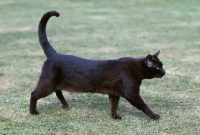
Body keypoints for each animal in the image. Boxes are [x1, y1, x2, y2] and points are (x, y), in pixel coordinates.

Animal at [28, 10, 165, 120]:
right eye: (158, 67)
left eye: (162, 65)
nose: (164, 72)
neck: (136, 68)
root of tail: (54, 54)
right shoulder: (131, 93)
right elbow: (144, 106)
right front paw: (154, 116)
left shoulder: (114, 93)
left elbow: (113, 106)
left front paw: (115, 117)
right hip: (48, 83)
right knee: (34, 94)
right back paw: (33, 112)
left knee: (58, 91)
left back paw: (65, 105)